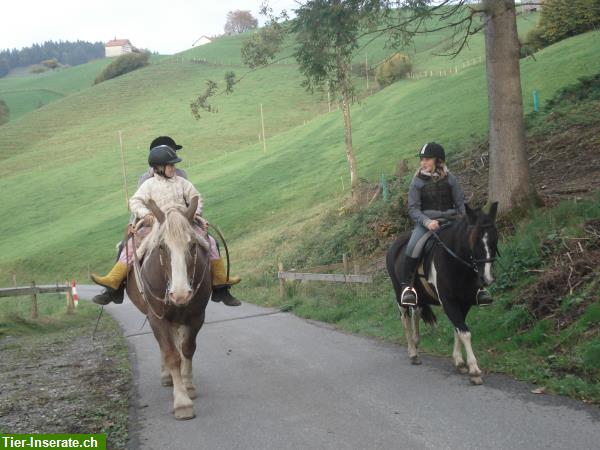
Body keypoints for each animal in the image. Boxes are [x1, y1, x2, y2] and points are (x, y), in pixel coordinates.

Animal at [125, 197, 212, 418]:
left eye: (192, 244)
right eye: (162, 247)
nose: (180, 294)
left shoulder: (196, 316)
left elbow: (187, 349)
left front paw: (188, 387)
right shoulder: (157, 318)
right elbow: (172, 355)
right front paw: (182, 402)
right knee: (166, 348)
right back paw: (167, 377)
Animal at [386, 203, 500, 384]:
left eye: (495, 239)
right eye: (473, 239)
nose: (487, 278)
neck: (454, 261)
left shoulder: (464, 302)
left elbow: (458, 330)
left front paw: (459, 362)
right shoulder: (448, 301)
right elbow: (464, 332)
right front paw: (474, 370)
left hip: (419, 296)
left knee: (416, 313)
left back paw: (416, 344)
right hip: (399, 295)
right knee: (405, 319)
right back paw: (413, 352)